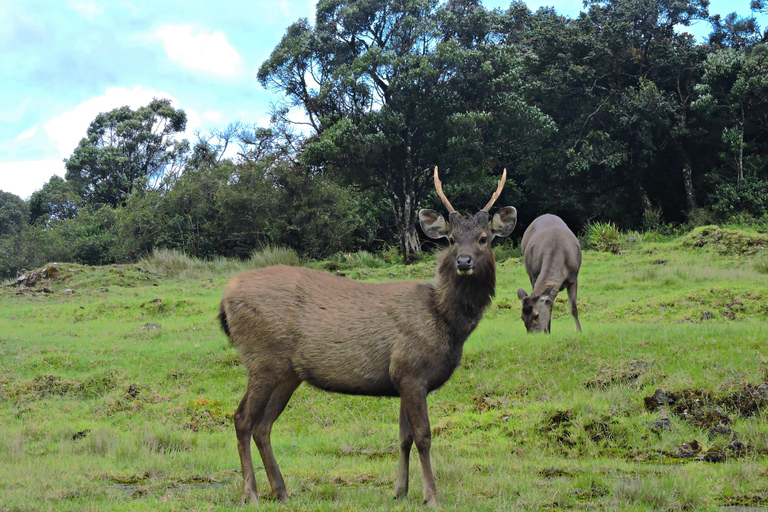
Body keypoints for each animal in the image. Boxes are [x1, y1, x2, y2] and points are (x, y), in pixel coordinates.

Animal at [216, 167, 516, 504]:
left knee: (263, 425)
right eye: (451, 239)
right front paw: (431, 496)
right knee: (242, 418)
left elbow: (403, 438)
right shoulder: (411, 370)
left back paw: (281, 491)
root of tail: (225, 299)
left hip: (287, 372)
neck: (444, 322)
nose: (463, 262)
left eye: (484, 238)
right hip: (262, 358)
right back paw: (251, 493)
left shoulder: (402, 378)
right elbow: (423, 436)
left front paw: (400, 491)